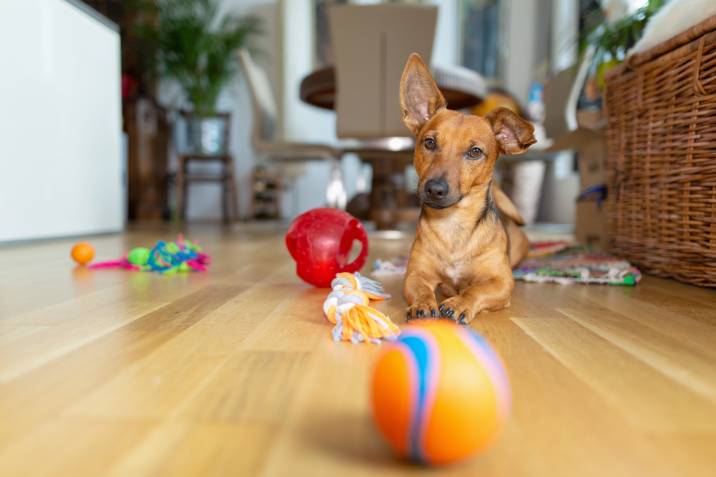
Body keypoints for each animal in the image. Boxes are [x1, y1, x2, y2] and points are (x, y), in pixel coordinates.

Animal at [400, 54, 536, 326]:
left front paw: (459, 303)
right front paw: (423, 304)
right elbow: (421, 289)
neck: (453, 225)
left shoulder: (501, 282)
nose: (435, 189)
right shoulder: (415, 274)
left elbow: (476, 290)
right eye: (429, 142)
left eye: (475, 152)